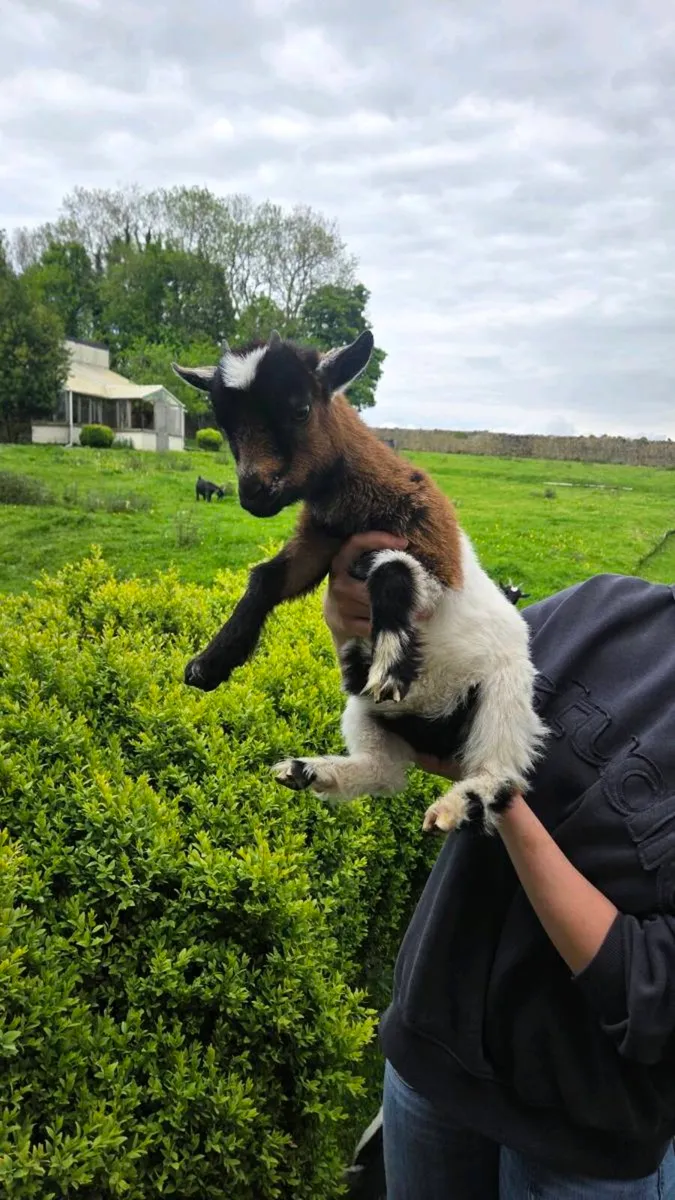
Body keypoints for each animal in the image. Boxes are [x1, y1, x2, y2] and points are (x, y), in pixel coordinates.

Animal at [172, 331, 546, 834]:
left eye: (300, 409)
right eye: (225, 424)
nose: (253, 494)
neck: (355, 507)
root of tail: (434, 736)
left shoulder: (435, 553)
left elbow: (391, 570)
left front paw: (389, 666)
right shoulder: (319, 541)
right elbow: (266, 579)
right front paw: (211, 663)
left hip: (504, 694)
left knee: (502, 776)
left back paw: (456, 806)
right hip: (367, 714)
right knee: (385, 772)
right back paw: (308, 770)